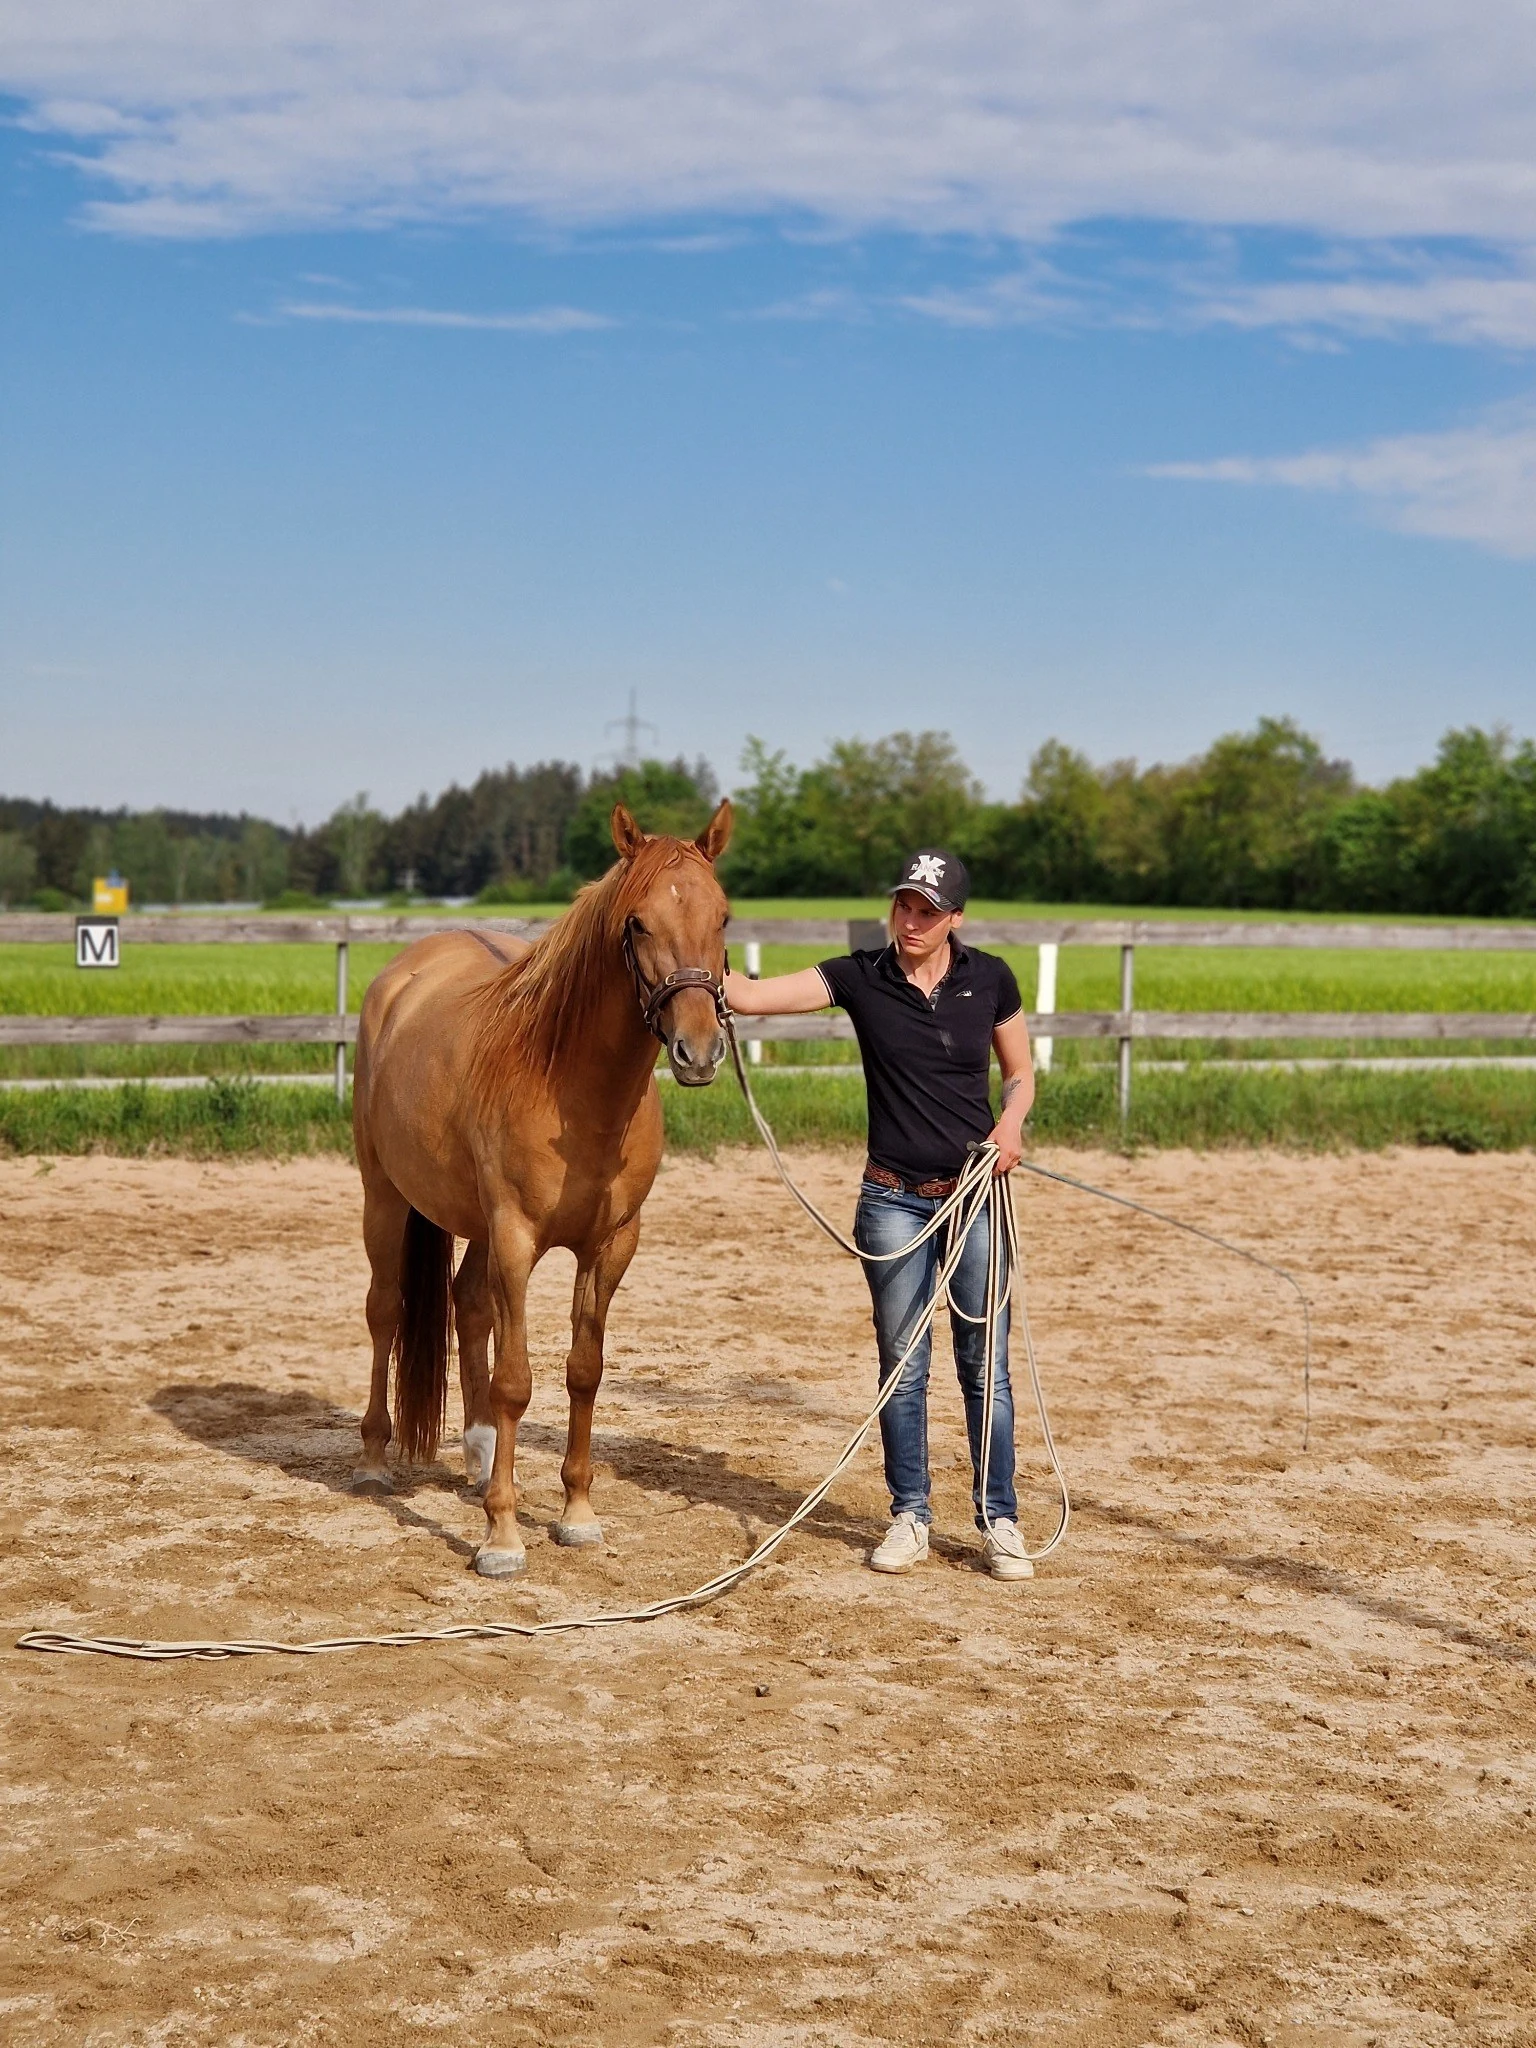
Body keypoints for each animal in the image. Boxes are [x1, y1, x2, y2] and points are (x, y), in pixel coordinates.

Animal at [351, 798, 733, 1576]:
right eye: (637, 922)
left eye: (724, 917)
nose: (700, 1050)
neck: (570, 1086)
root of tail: (401, 977)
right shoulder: (516, 1238)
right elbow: (516, 1380)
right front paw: (501, 1534)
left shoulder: (610, 1245)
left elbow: (582, 1370)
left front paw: (576, 1512)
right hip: (386, 1198)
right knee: (386, 1311)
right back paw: (376, 1457)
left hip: (471, 1222)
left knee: (466, 1305)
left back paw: (476, 1456)